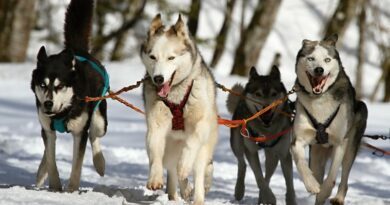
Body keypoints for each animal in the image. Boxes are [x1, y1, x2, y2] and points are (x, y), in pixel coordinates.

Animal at [30, 0, 107, 192]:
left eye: (60, 86)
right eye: (43, 85)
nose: (48, 104)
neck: (63, 112)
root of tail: (78, 50)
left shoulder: (80, 132)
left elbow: (77, 165)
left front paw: (71, 190)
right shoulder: (47, 128)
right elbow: (51, 158)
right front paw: (55, 186)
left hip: (100, 120)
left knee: (94, 134)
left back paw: (99, 163)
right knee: (47, 150)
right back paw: (41, 173)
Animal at [140, 13, 219, 204]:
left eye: (171, 58)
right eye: (152, 57)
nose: (158, 78)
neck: (175, 95)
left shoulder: (200, 125)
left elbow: (191, 144)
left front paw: (184, 165)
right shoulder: (156, 126)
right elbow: (155, 152)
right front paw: (155, 178)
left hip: (203, 150)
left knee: (199, 172)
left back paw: (197, 195)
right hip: (170, 149)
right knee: (172, 171)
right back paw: (179, 192)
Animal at [227, 66, 294, 204]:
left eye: (274, 94)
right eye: (258, 94)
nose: (266, 108)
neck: (266, 131)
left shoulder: (284, 153)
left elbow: (289, 184)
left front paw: (289, 200)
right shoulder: (251, 151)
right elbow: (259, 177)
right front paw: (270, 197)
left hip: (273, 156)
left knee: (268, 175)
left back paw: (261, 198)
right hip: (237, 144)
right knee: (242, 164)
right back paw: (239, 190)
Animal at [290, 34, 368, 204]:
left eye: (327, 59)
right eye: (311, 58)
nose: (319, 70)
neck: (319, 99)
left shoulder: (340, 142)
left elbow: (332, 176)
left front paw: (324, 192)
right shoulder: (298, 140)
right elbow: (301, 164)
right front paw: (312, 185)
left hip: (351, 143)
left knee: (344, 175)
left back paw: (338, 197)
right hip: (316, 154)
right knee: (317, 171)